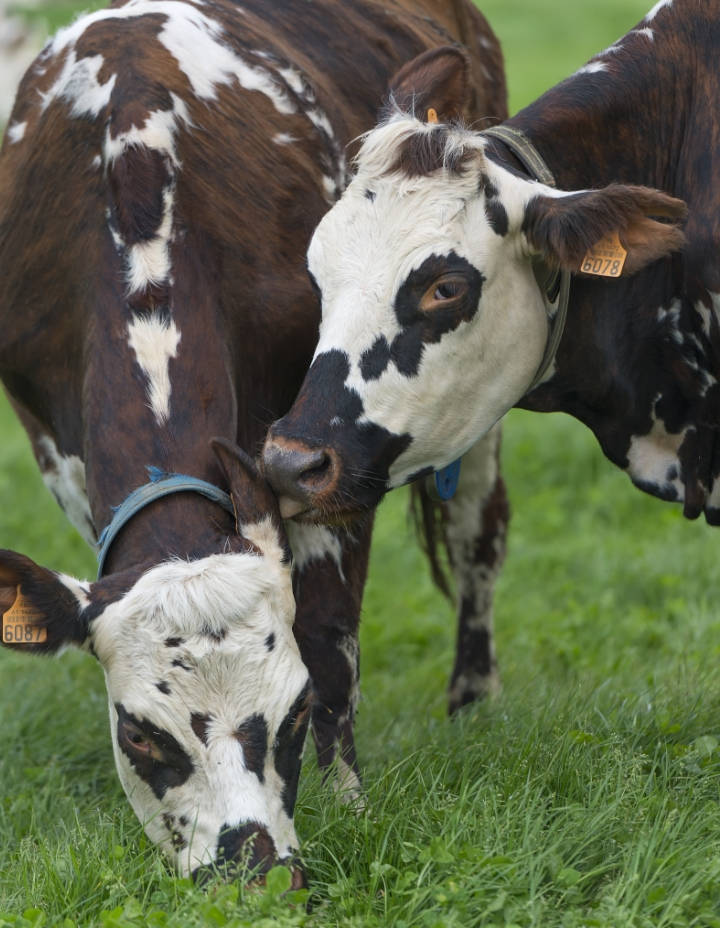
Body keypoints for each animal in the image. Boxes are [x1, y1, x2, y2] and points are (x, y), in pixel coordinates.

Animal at [0, 0, 508, 883]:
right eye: (139, 735)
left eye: (293, 713)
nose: (255, 874)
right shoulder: (55, 446)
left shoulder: (324, 454)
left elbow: (332, 642)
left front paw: (348, 799)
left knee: (478, 531)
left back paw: (472, 700)